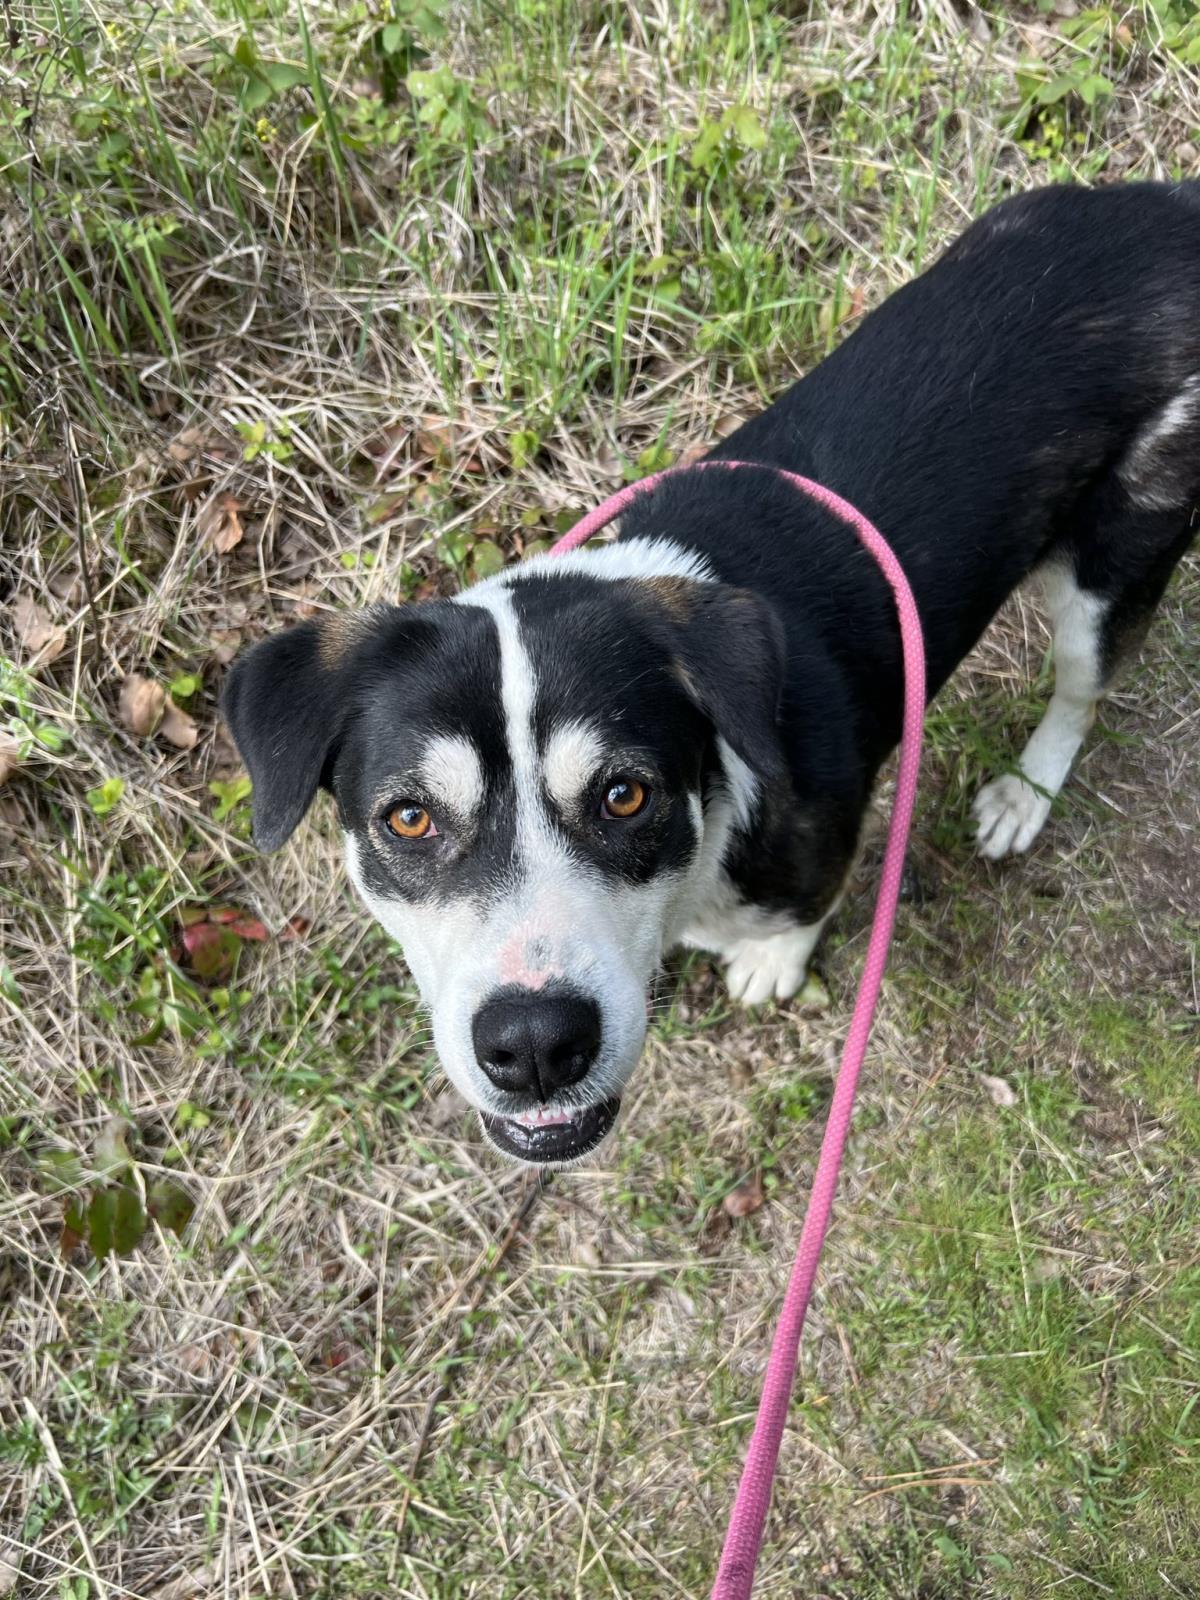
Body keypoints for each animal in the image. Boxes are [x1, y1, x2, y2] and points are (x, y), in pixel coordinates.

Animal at [227, 184, 1200, 1164]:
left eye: (625, 795)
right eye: (409, 818)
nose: (534, 1046)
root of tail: (1173, 203)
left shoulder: (817, 848)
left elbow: (805, 911)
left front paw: (771, 962)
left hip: (1114, 563)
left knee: (1081, 688)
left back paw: (1022, 795)